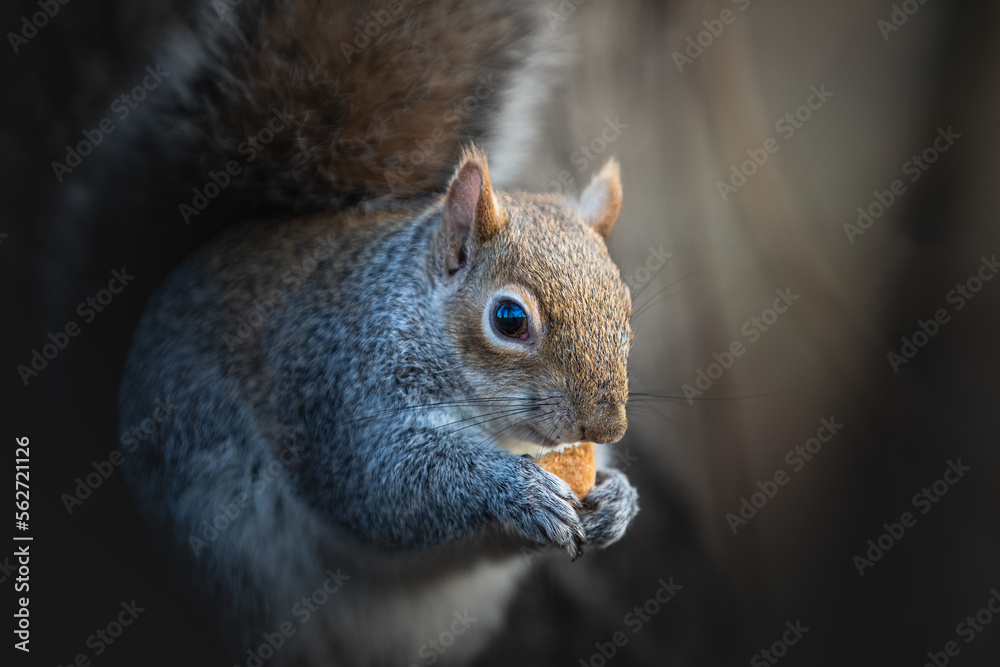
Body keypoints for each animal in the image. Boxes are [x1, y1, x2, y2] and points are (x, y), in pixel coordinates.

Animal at [114, 1, 640, 665]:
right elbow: (382, 484)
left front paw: (619, 498)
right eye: (509, 319)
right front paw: (516, 491)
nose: (606, 428)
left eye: (627, 312)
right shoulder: (339, 386)